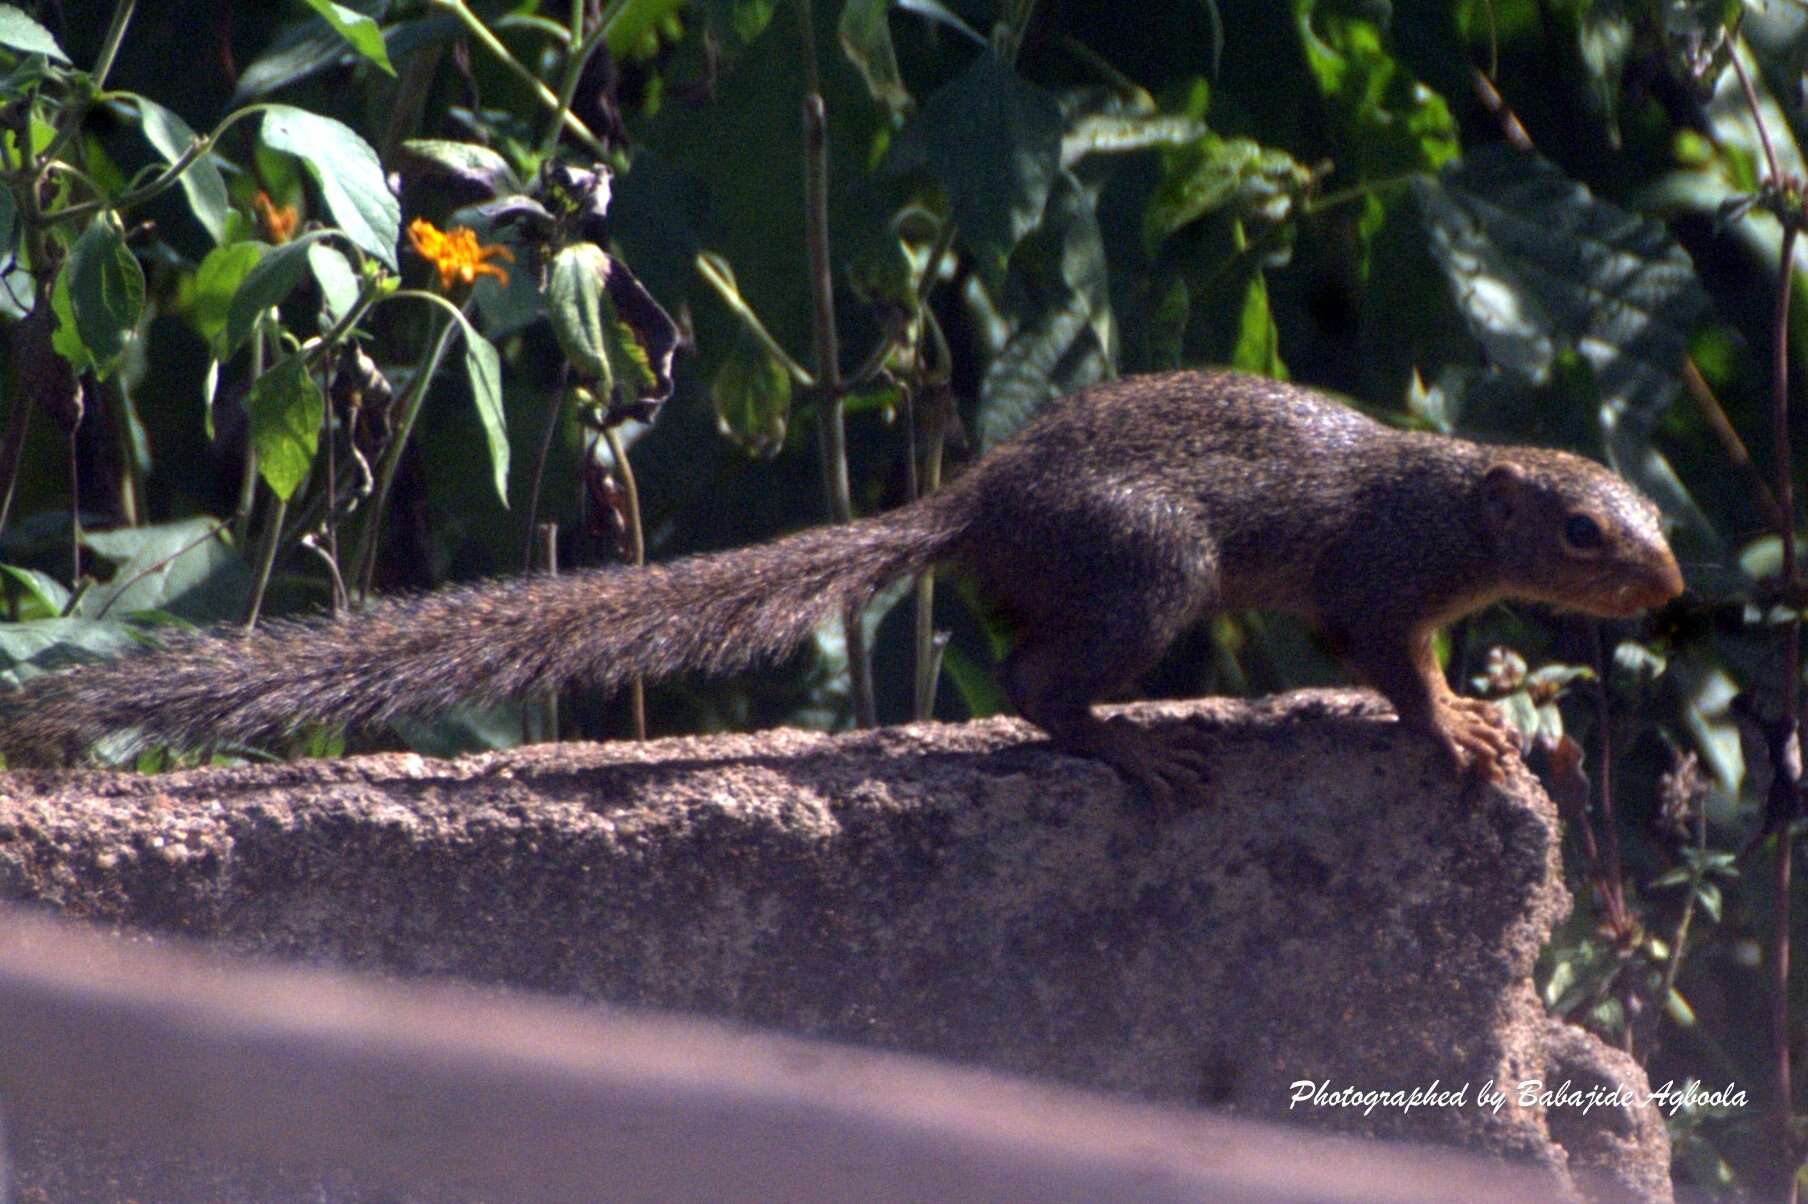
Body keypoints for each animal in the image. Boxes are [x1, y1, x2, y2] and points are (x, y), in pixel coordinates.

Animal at [0, 365, 1677, 795]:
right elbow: (1393, 666)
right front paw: (1464, 731)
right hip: (1159, 564)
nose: (1665, 587)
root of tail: (975, 502)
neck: (1452, 500)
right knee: (1038, 687)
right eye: (1583, 535)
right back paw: (1133, 754)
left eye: (1652, 508)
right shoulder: (1378, 585)